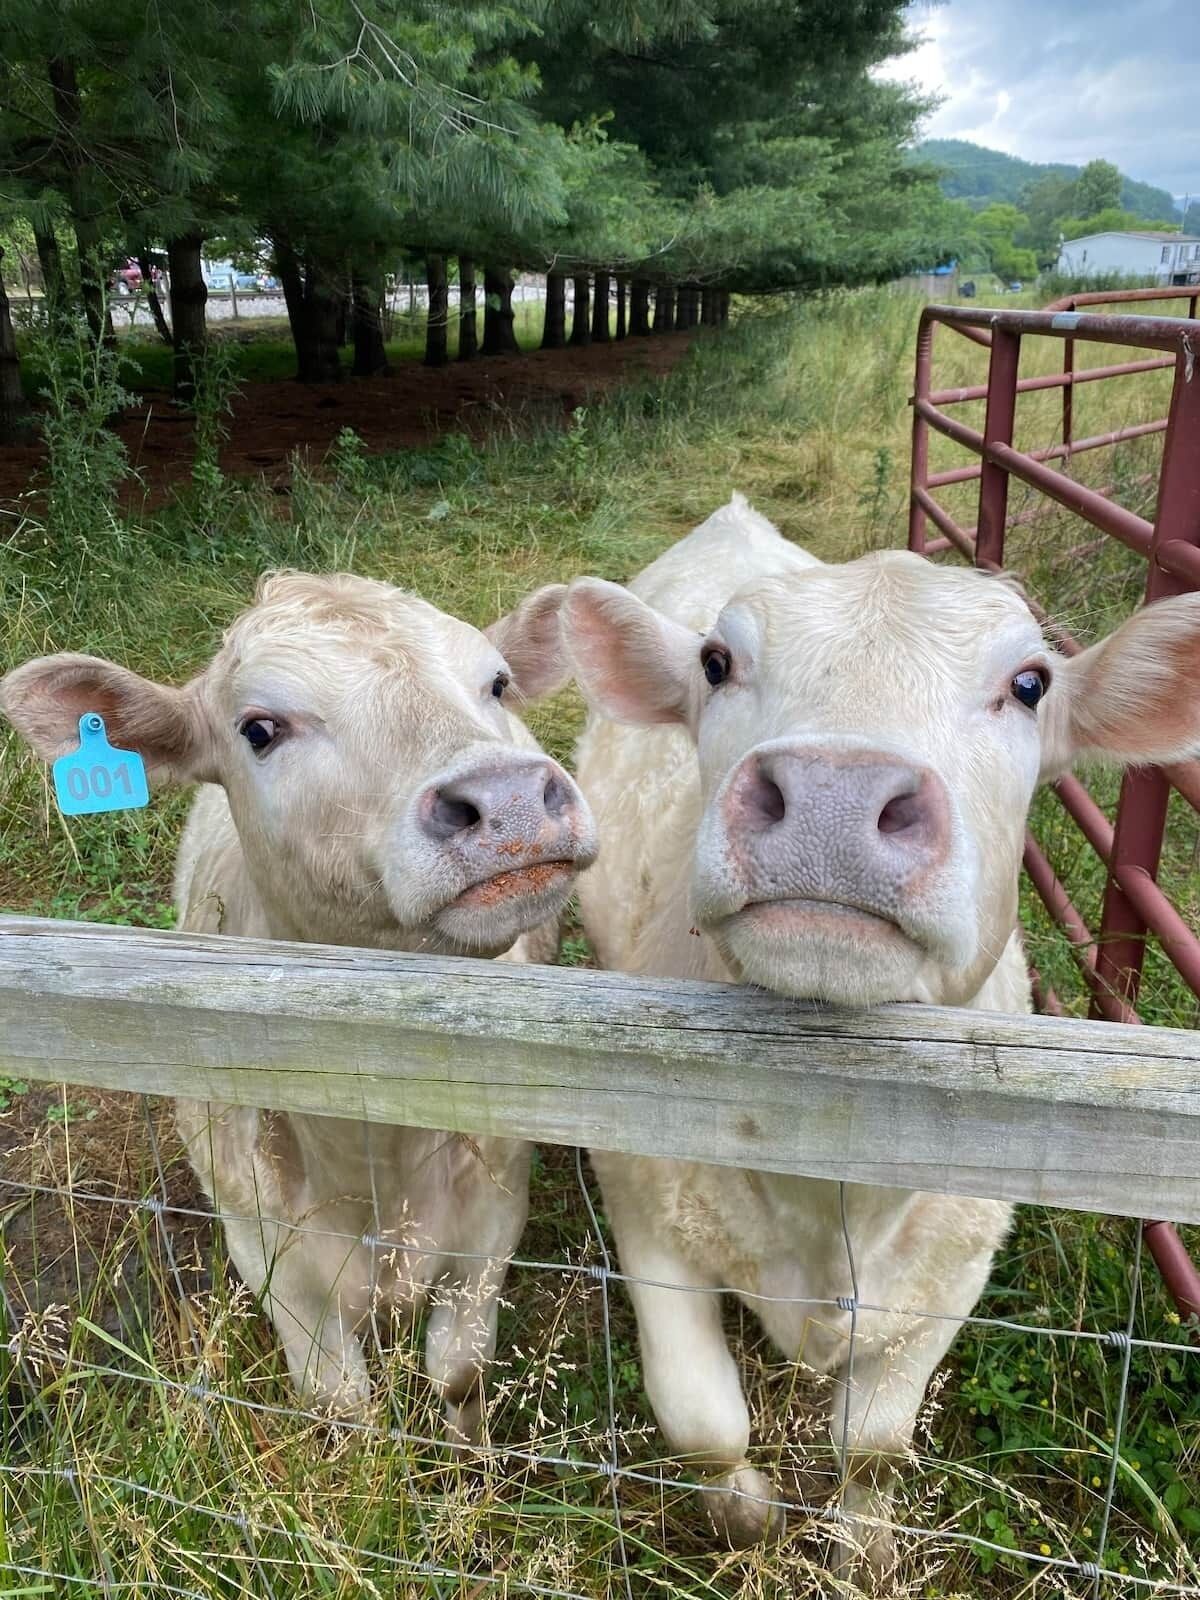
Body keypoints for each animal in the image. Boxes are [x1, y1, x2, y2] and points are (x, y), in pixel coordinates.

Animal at [1, 571, 597, 1438]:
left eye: (496, 683)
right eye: (260, 728)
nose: (510, 797)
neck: (379, 1156)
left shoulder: (493, 1220)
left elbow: (458, 1370)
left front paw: (470, 1450)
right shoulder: (268, 1253)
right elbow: (337, 1401)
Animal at [555, 493, 1200, 1573]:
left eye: (1030, 683)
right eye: (717, 664)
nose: (832, 796)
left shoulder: (954, 1261)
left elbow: (875, 1442)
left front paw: (861, 1545)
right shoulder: (643, 1196)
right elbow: (701, 1418)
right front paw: (748, 1520)